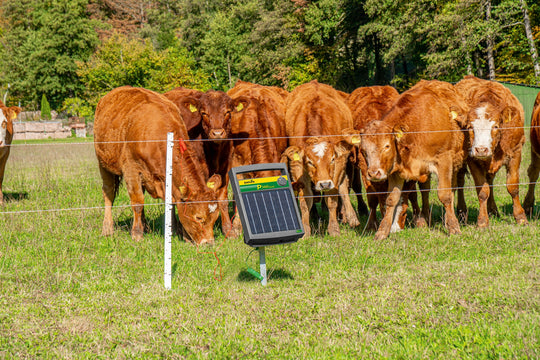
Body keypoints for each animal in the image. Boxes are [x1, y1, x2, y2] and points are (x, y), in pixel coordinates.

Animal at [94, 86, 220, 245]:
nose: (209, 243)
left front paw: (176, 231)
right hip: (103, 163)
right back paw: (107, 229)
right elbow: (137, 202)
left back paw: (145, 226)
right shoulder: (131, 169)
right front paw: (137, 234)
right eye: (199, 217)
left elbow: (171, 203)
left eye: (215, 218)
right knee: (109, 193)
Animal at [163, 88, 250, 238]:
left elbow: (222, 198)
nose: (217, 133)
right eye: (204, 113)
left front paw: (228, 230)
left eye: (227, 112)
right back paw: (174, 228)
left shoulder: (225, 168)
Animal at [278, 79, 358, 236]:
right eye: (310, 162)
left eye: (332, 159)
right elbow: (305, 200)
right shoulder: (298, 168)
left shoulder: (337, 166)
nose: (324, 184)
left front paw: (334, 229)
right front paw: (305, 231)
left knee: (343, 186)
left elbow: (332, 198)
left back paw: (351, 217)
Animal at [360, 80, 470, 240]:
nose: (374, 173)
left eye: (387, 146)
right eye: (363, 150)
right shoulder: (396, 171)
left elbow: (445, 195)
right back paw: (426, 218)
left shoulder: (444, 161)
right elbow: (391, 199)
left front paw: (453, 227)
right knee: (426, 190)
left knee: (456, 187)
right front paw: (382, 231)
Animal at [456, 75, 528, 228]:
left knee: (490, 180)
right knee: (460, 181)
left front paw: (520, 217)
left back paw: (493, 210)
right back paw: (462, 212)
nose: (481, 149)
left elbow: (513, 186)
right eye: (470, 127)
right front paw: (483, 221)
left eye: (495, 126)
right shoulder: (473, 160)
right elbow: (483, 191)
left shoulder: (516, 152)